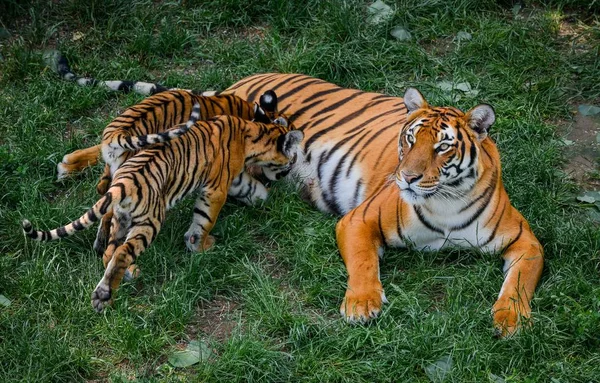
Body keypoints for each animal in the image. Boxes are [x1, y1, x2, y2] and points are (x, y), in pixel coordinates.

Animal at [55, 56, 544, 336]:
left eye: (442, 146)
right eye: (409, 139)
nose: (406, 178)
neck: (444, 200)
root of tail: (240, 83)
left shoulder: (526, 242)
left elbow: (519, 283)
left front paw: (509, 320)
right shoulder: (358, 220)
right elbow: (364, 264)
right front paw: (362, 305)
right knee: (115, 157)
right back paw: (74, 169)